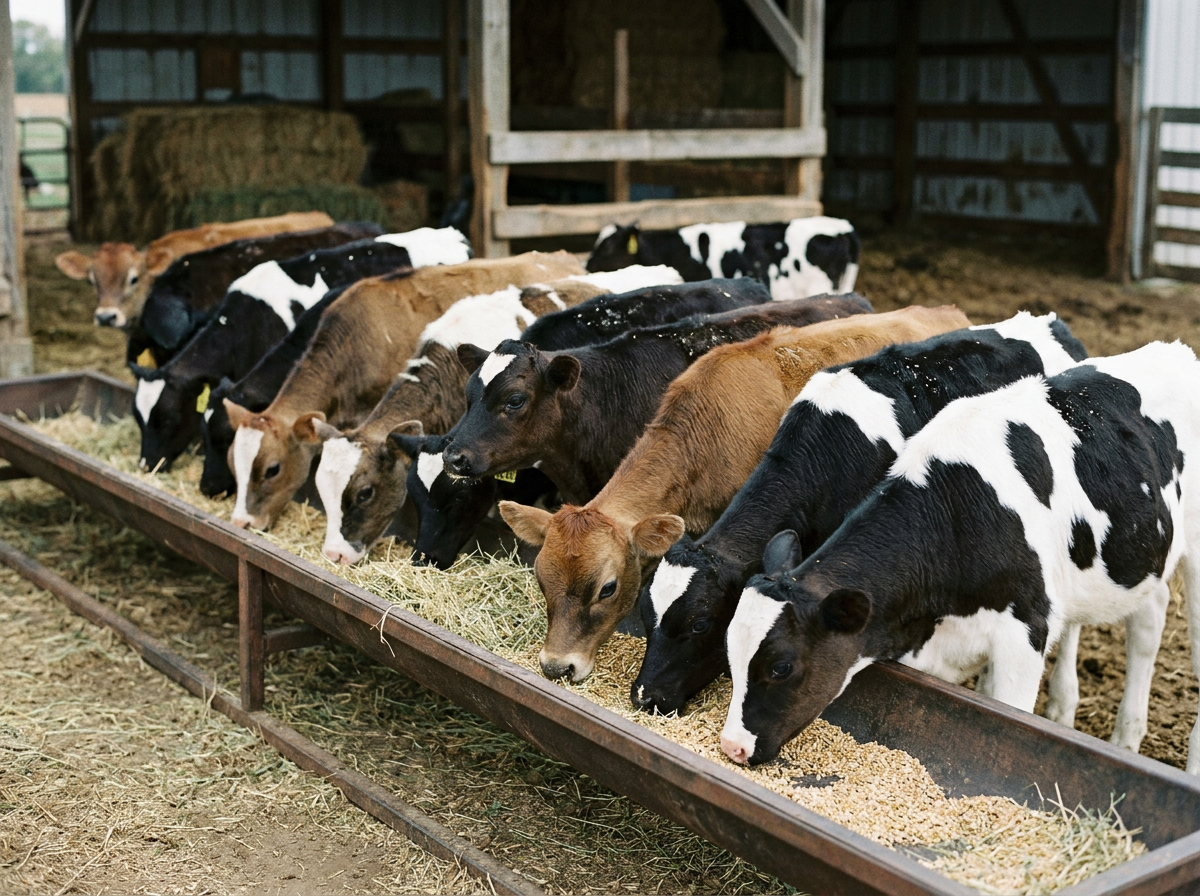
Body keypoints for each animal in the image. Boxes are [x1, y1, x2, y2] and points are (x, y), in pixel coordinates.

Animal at [720, 341, 1200, 770]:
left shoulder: (1026, 633)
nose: (732, 747)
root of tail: (1175, 349)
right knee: (1149, 618)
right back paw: (1125, 737)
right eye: (730, 653)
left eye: (781, 667)